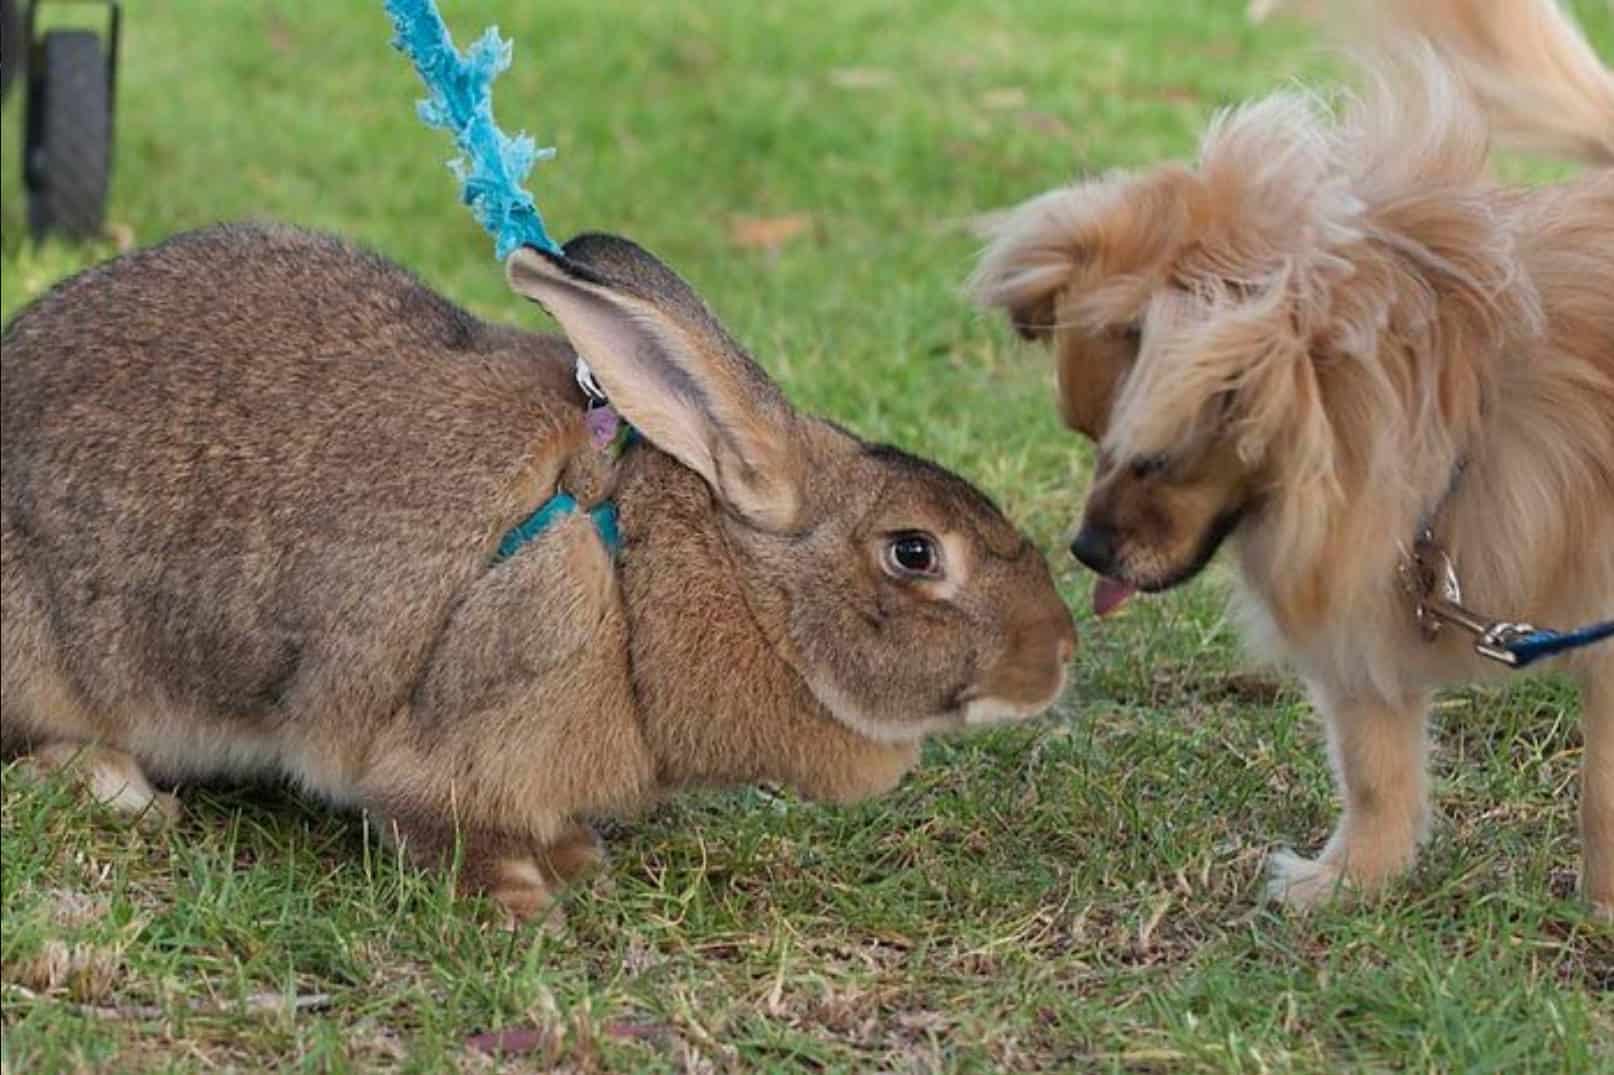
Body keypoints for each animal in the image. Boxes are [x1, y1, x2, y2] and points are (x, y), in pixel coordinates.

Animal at [968, 0, 1614, 910]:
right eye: (1090, 442)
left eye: (1153, 457)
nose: (1084, 548)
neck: (1457, 427)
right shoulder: (1362, 617)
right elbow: (1376, 768)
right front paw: (1348, 883)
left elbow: (1601, 793)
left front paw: (1603, 904)